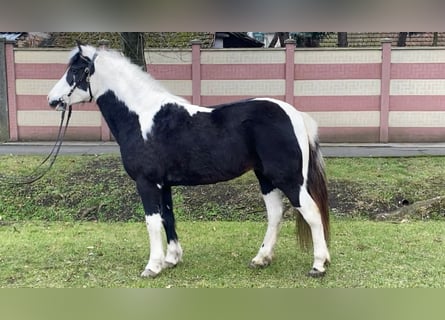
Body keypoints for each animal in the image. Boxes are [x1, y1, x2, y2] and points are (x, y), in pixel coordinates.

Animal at [47, 43, 330, 278]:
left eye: (76, 70)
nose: (52, 100)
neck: (142, 117)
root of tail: (295, 114)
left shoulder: (146, 183)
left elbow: (152, 221)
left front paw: (152, 266)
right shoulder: (163, 184)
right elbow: (167, 218)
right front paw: (171, 259)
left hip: (289, 179)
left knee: (312, 213)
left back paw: (318, 265)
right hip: (266, 178)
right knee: (275, 214)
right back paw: (262, 258)